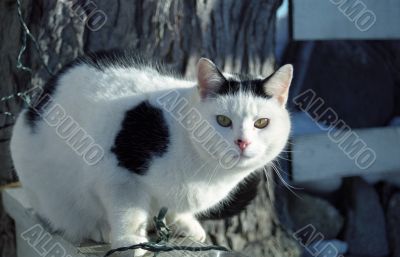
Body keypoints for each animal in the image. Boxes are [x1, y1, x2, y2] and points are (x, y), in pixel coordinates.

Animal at [9, 51, 290, 255]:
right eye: (223, 120)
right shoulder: (118, 175)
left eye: (262, 123)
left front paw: (184, 222)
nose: (242, 142)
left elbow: (174, 208)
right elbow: (128, 211)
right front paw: (130, 241)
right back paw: (99, 228)